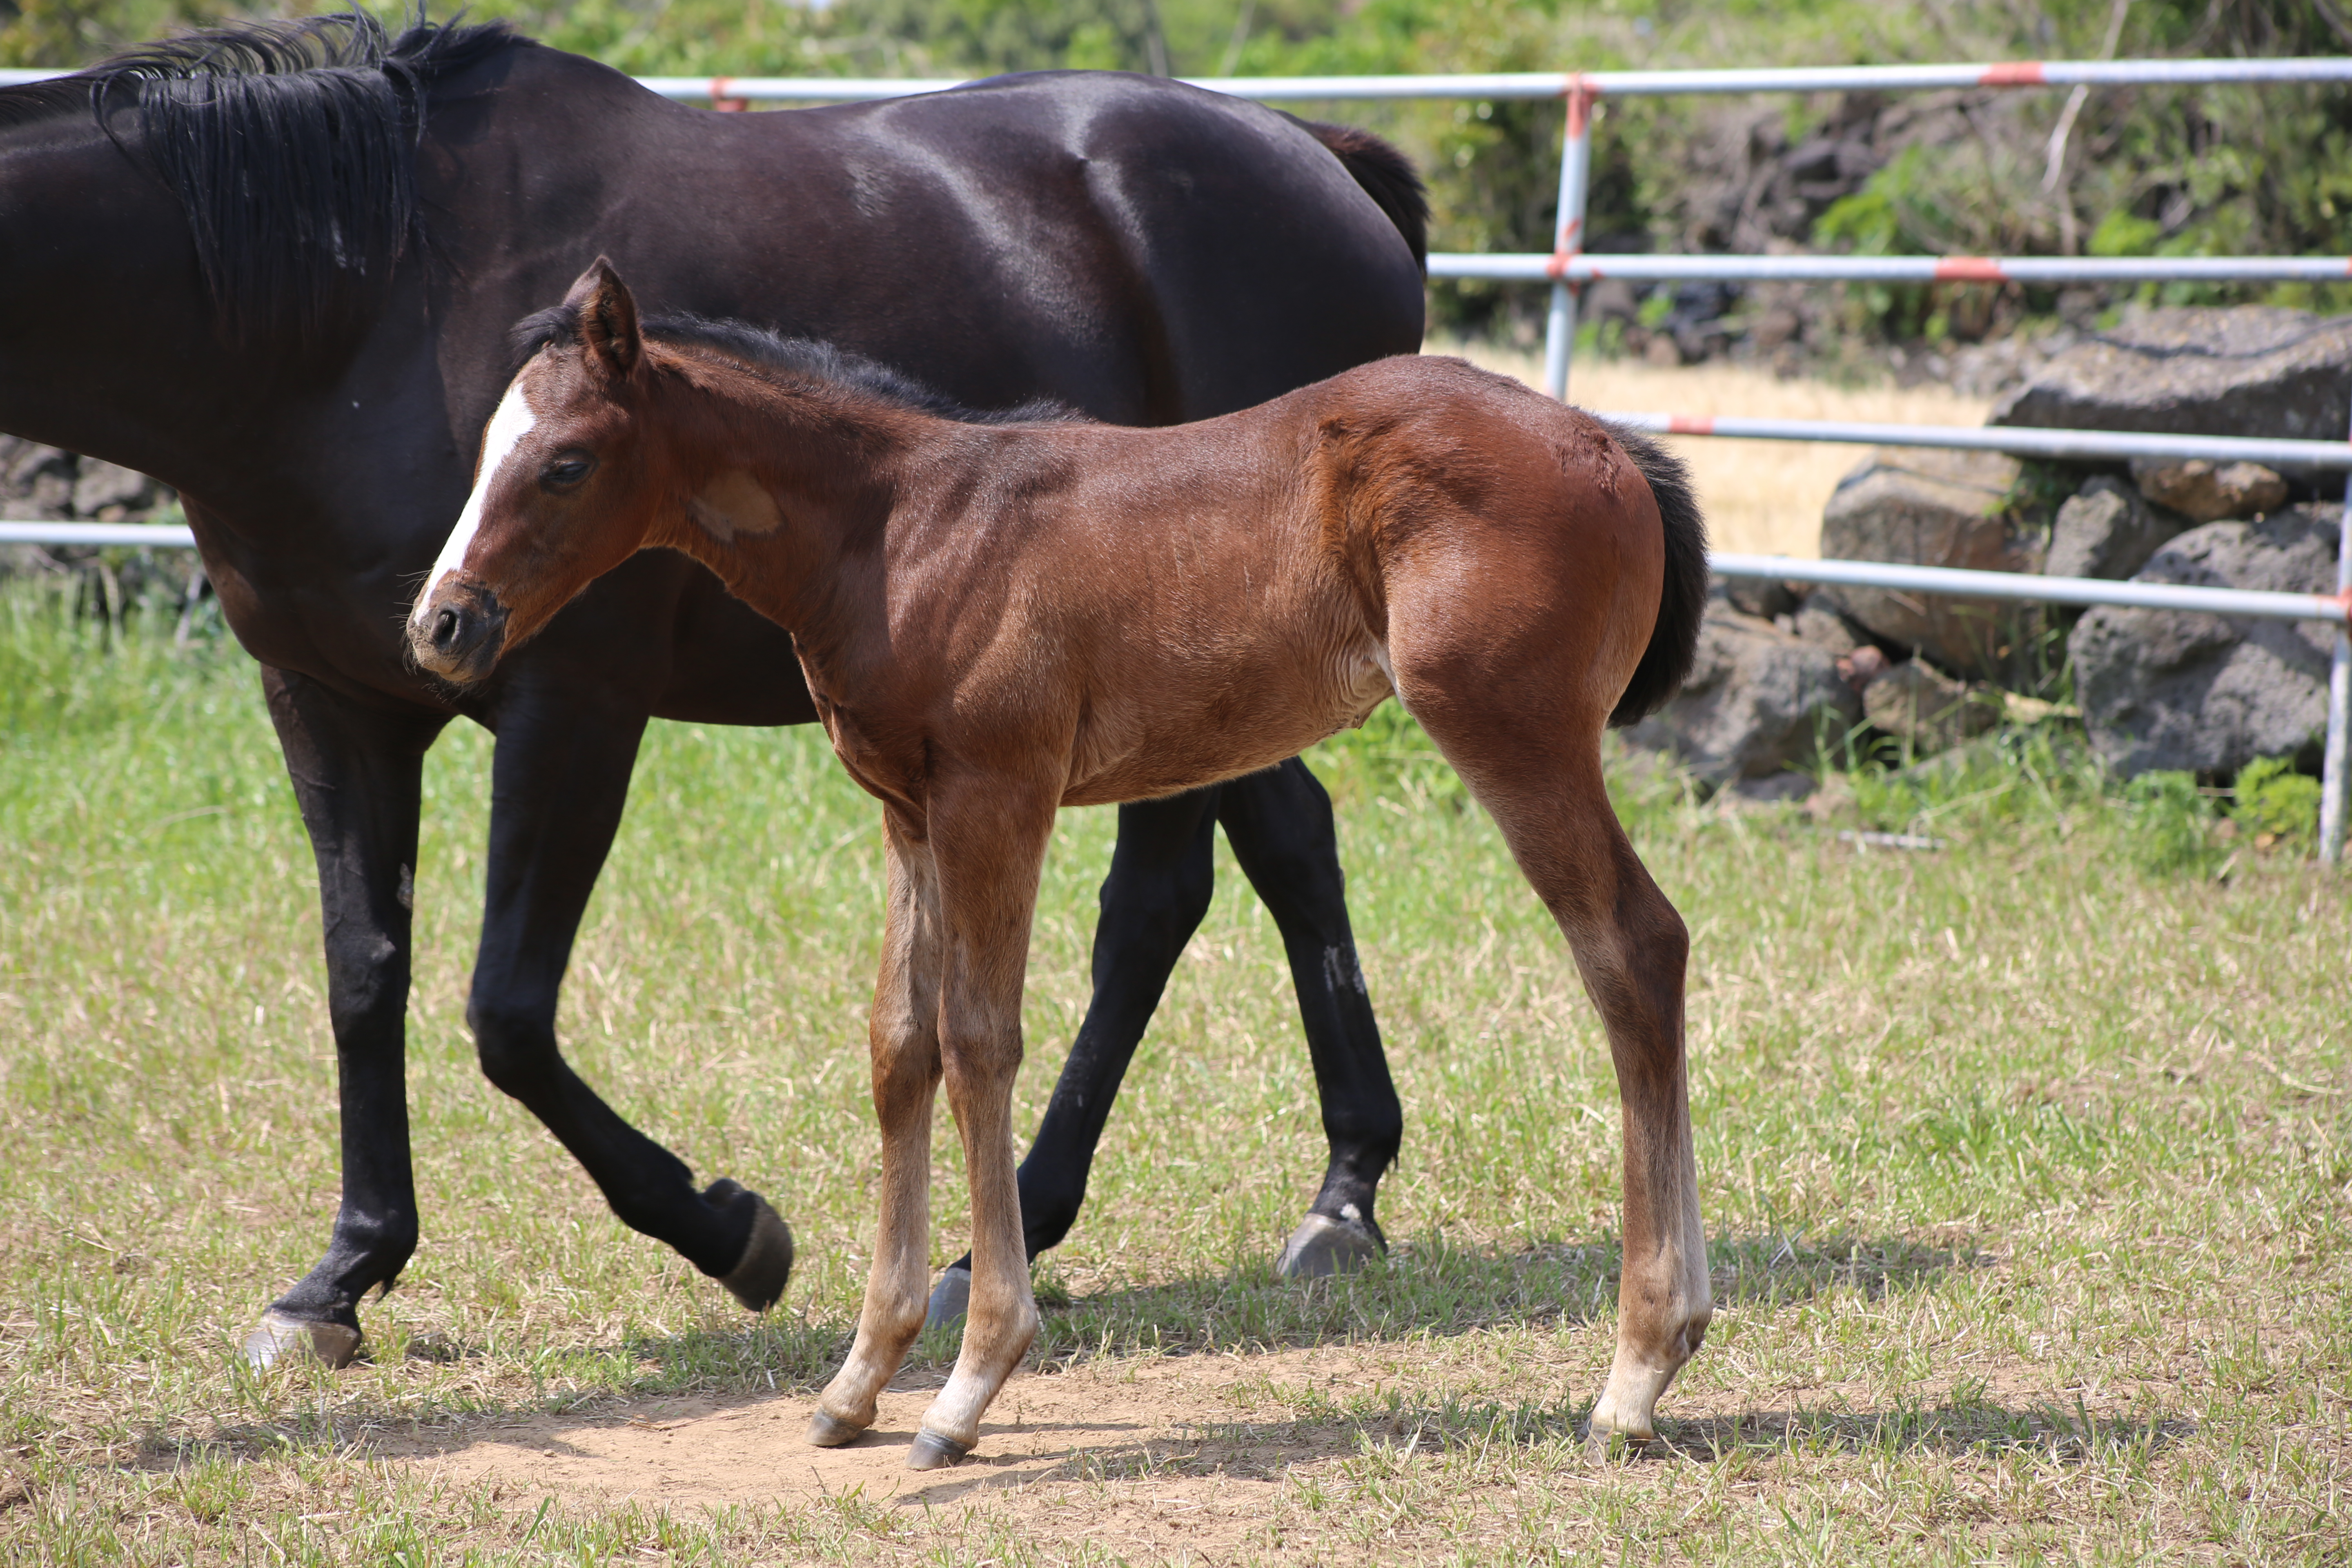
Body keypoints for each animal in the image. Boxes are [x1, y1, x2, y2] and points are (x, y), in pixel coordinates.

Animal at [0, 12, 1421, 1363]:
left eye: (564, 468)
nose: (449, 616)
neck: (360, 305)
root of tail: (1317, 155)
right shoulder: (327, 701)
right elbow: (364, 974)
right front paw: (340, 1275)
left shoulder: (571, 708)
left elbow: (507, 1010)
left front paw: (729, 1229)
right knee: (1284, 848)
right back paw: (1340, 1193)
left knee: (1155, 901)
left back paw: (1022, 1226)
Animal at [409, 261, 1712, 1476]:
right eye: (480, 455)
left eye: (566, 463)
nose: (440, 625)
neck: (900, 528)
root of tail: (1608, 442)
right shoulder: (909, 818)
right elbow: (901, 1048)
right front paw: (859, 1378)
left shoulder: (999, 798)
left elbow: (980, 1044)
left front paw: (969, 1381)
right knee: (1648, 949)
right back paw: (1672, 1342)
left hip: (1509, 730)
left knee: (1630, 949)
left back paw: (1634, 1375)